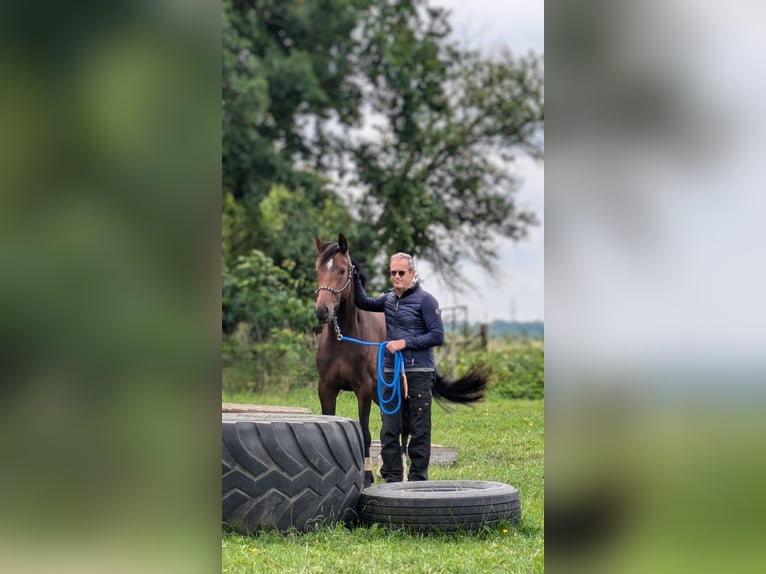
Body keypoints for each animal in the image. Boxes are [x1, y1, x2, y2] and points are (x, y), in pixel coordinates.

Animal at [313, 233, 490, 487]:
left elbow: (366, 433)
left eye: (342, 270)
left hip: (400, 394)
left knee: (404, 430)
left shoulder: (363, 390)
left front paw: (367, 477)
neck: (344, 338)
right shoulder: (326, 388)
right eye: (317, 269)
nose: (322, 311)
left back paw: (403, 475)